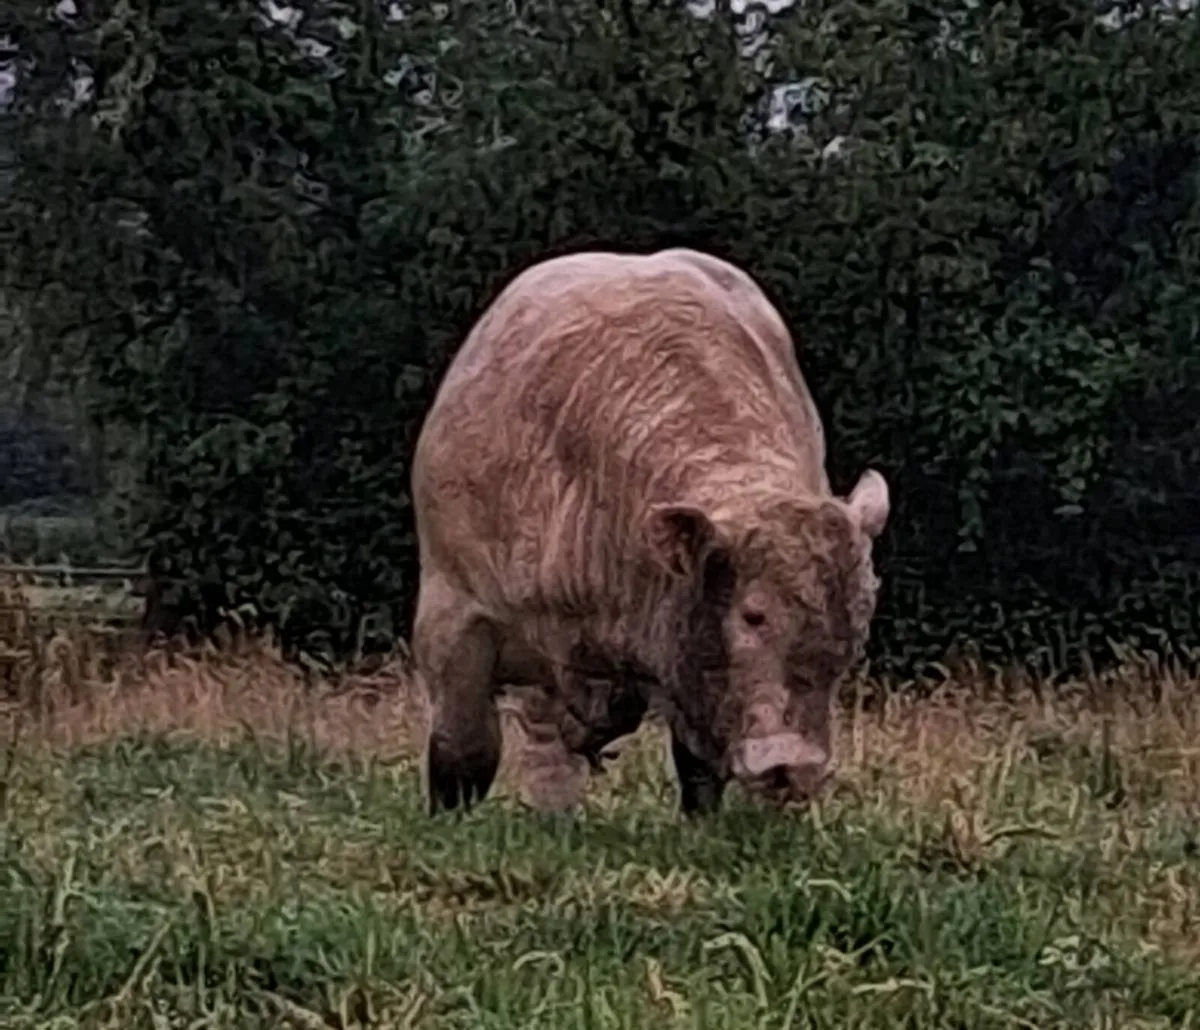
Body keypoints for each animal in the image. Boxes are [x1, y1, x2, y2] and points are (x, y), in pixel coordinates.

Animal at [409, 247, 890, 816]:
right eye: (753, 615)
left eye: (856, 631)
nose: (793, 766)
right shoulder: (453, 615)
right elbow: (464, 750)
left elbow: (698, 765)